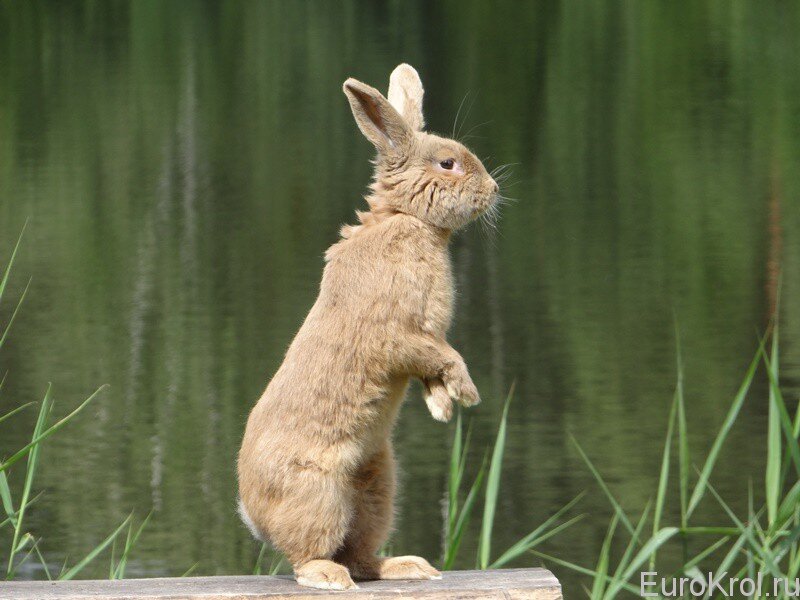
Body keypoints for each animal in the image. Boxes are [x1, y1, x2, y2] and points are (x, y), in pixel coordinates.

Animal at [238, 64, 500, 592]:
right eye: (447, 163)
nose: (494, 190)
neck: (407, 220)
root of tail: (252, 514)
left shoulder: (421, 344)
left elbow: (433, 370)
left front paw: (443, 408)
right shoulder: (400, 336)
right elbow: (445, 357)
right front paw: (467, 395)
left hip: (376, 489)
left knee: (361, 553)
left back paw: (409, 567)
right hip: (320, 496)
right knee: (308, 555)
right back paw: (330, 578)